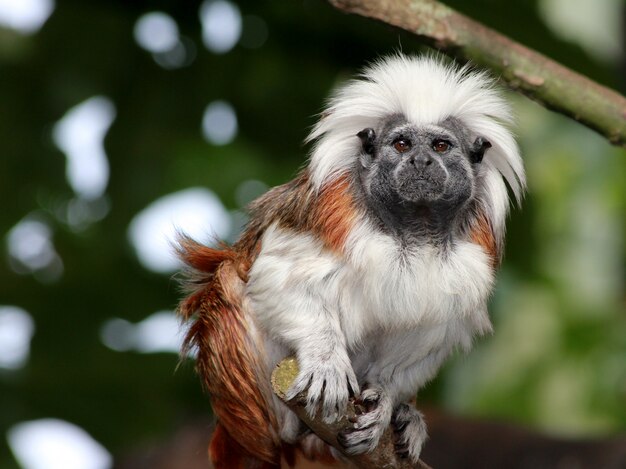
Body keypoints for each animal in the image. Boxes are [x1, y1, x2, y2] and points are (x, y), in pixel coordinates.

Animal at [178, 54, 524, 464]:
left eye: (441, 146)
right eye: (402, 143)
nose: (421, 161)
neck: (413, 229)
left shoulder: (476, 251)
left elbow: (429, 330)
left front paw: (387, 400)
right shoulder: (331, 209)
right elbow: (281, 277)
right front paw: (326, 360)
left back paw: (406, 420)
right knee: (231, 279)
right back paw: (289, 425)